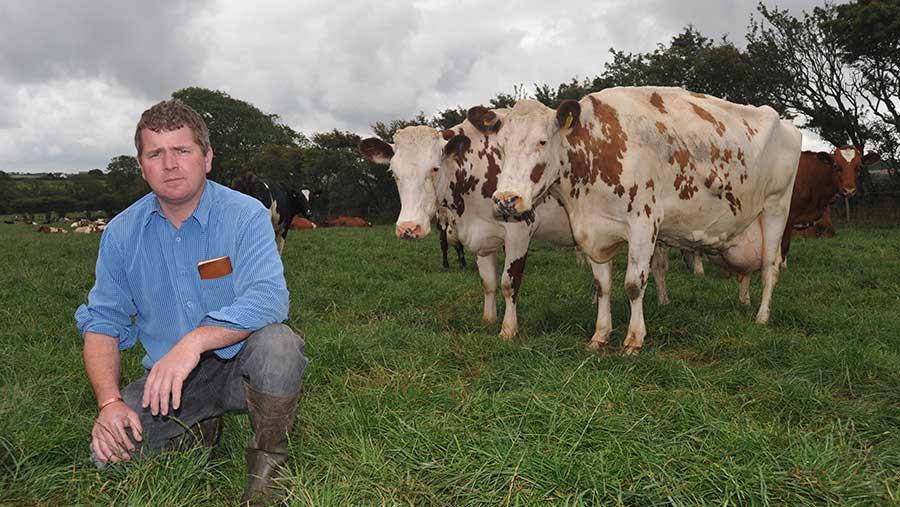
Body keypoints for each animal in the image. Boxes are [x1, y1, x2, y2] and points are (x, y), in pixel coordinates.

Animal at [358, 112, 660, 342]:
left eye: (433, 168)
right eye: (393, 173)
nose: (409, 228)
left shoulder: (519, 231)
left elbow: (508, 282)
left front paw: (508, 329)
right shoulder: (482, 240)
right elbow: (488, 282)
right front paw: (489, 319)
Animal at [488, 87, 804, 356]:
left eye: (542, 141)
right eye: (501, 147)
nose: (505, 199)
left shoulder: (643, 223)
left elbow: (633, 284)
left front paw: (634, 339)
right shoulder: (594, 230)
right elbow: (602, 286)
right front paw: (600, 335)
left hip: (776, 207)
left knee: (770, 266)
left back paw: (762, 316)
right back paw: (744, 301)